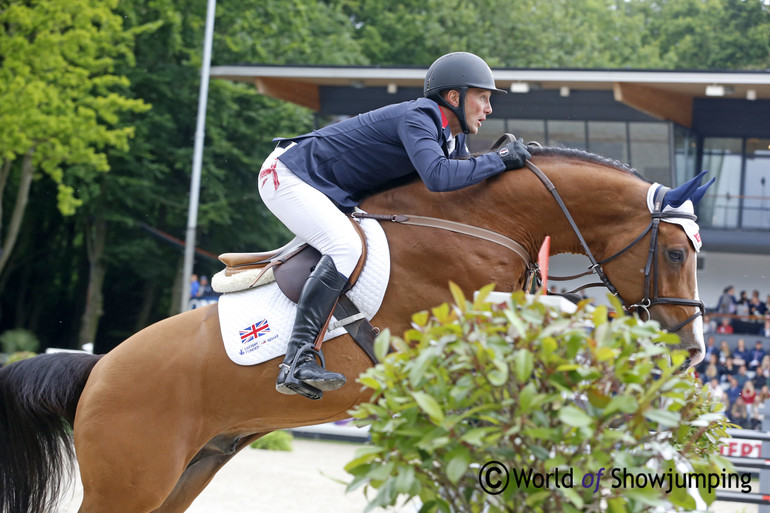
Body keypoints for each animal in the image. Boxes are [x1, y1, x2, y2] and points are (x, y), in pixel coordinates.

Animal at [0, 145, 708, 512]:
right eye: (677, 253)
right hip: (132, 480)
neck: (482, 222)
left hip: (188, 471)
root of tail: (98, 368)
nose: (693, 350)